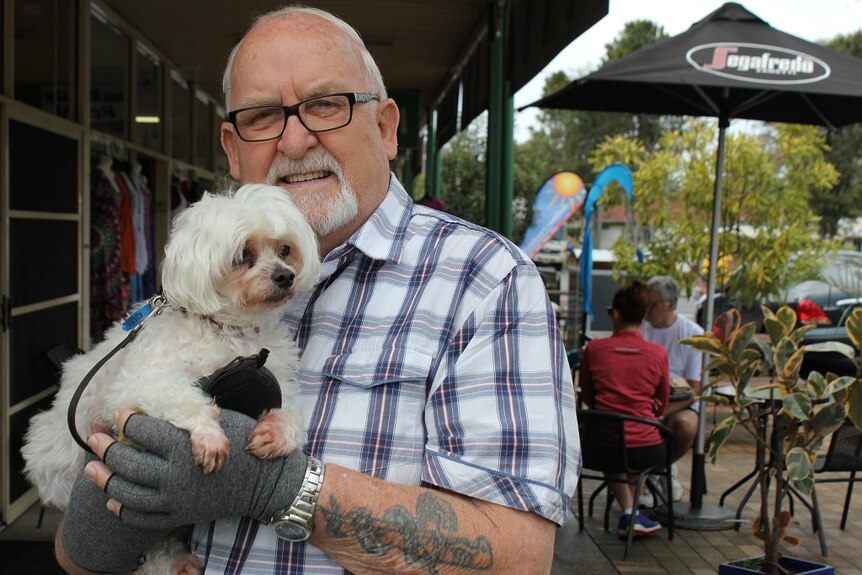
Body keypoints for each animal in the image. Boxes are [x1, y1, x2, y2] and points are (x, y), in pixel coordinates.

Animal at [22, 184, 320, 575]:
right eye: (243, 255)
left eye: (285, 249)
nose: (286, 275)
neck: (227, 330)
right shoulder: (138, 384)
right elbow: (184, 398)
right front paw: (209, 435)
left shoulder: (278, 382)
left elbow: (292, 415)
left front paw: (277, 431)